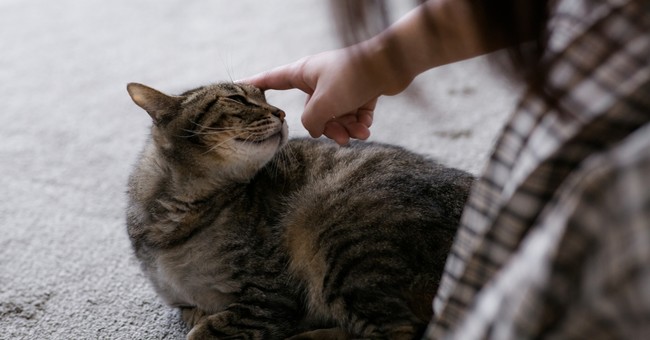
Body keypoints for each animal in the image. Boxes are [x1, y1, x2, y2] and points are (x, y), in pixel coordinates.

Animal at [125, 81, 470, 338]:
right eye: (237, 99)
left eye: (264, 96)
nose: (281, 112)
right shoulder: (185, 305)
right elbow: (193, 316)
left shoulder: (270, 296)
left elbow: (205, 331)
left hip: (337, 237)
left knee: (399, 330)